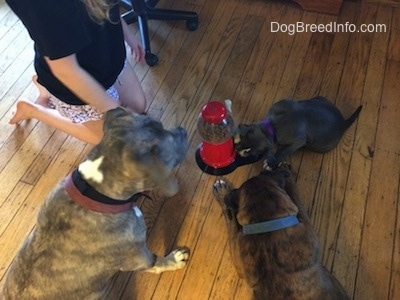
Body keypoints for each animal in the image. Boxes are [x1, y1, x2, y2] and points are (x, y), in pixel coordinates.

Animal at [1, 106, 189, 298]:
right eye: (167, 149)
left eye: (160, 124)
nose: (184, 130)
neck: (94, 193)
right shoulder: (138, 256)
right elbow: (157, 262)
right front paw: (174, 260)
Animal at [234, 97, 362, 170]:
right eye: (239, 140)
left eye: (248, 152)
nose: (236, 150)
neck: (272, 126)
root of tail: (343, 122)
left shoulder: (298, 141)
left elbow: (283, 151)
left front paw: (271, 162)